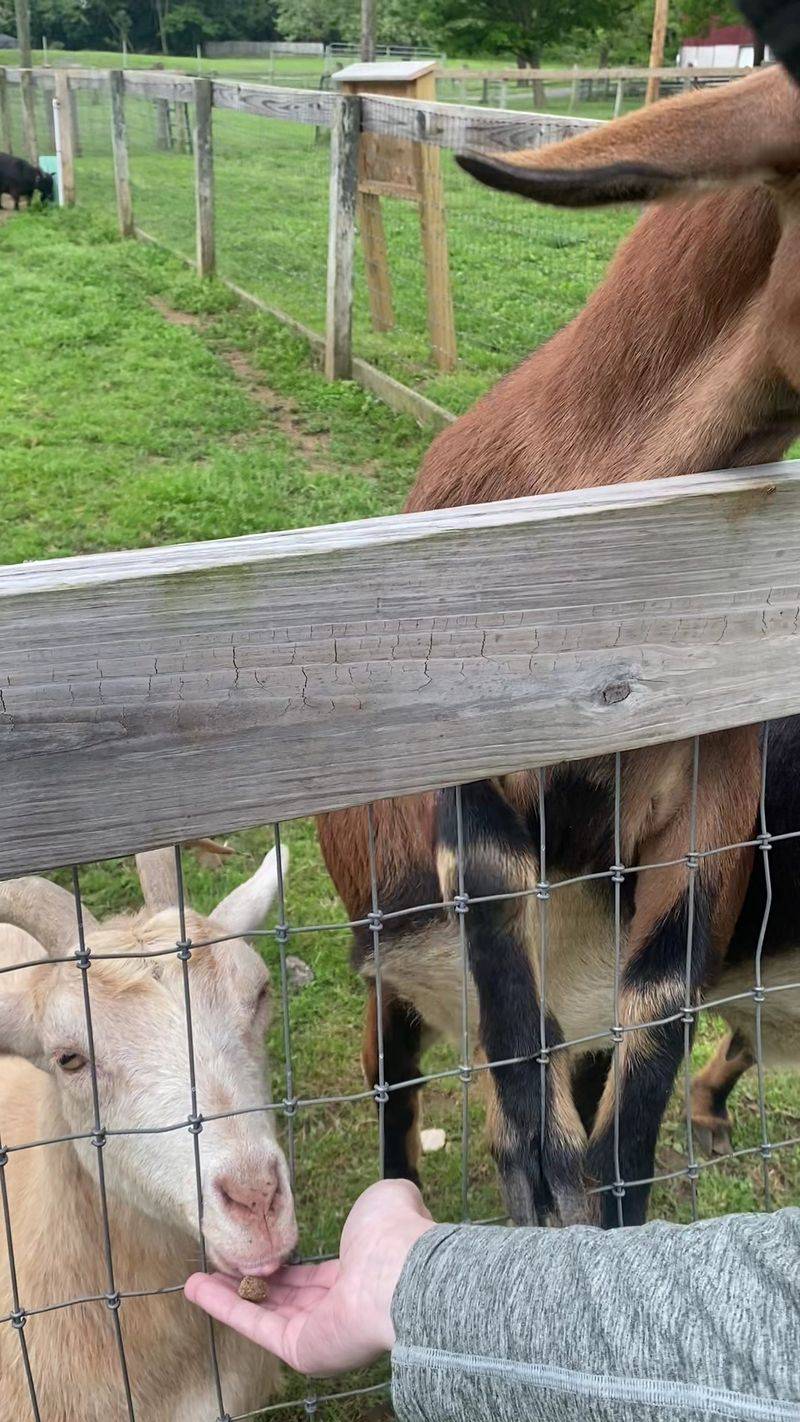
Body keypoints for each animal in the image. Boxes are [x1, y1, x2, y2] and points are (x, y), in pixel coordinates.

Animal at [318, 64, 800, 1229]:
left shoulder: (716, 779)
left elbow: (659, 1003)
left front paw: (591, 1196)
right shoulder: (458, 727)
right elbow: (493, 900)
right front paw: (532, 1161)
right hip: (383, 965)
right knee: (395, 1095)